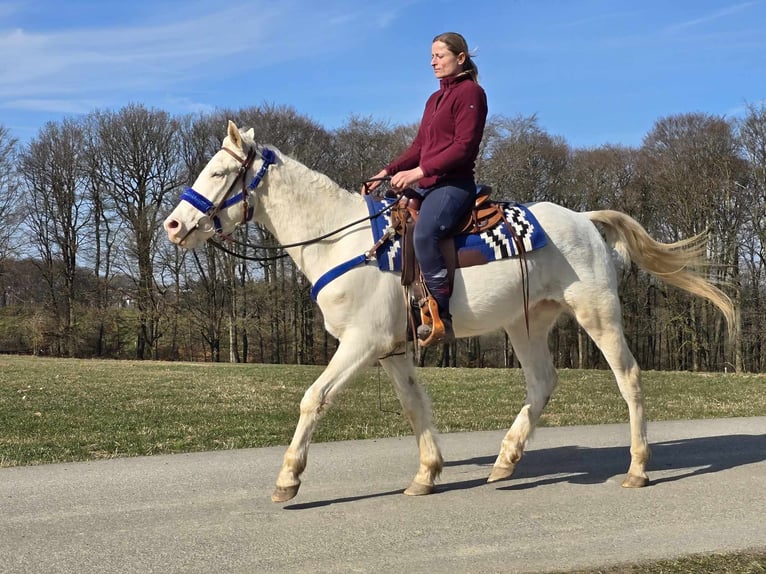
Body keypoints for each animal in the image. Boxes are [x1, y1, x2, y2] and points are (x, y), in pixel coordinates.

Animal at [164, 120, 736, 504]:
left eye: (219, 171)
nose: (172, 226)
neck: (344, 240)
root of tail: (583, 218)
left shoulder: (362, 343)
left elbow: (314, 399)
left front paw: (288, 479)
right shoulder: (392, 350)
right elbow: (416, 407)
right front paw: (427, 473)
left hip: (598, 315)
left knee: (629, 378)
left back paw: (637, 468)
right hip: (525, 324)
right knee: (542, 383)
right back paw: (505, 459)